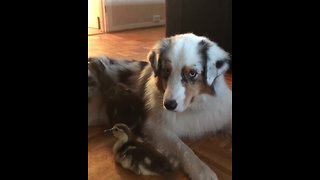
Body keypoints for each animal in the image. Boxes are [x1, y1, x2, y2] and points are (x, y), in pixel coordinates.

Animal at [89, 33, 231, 179]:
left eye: (192, 73)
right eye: (166, 71)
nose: (169, 105)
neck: (194, 107)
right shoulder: (154, 126)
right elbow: (182, 147)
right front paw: (202, 170)